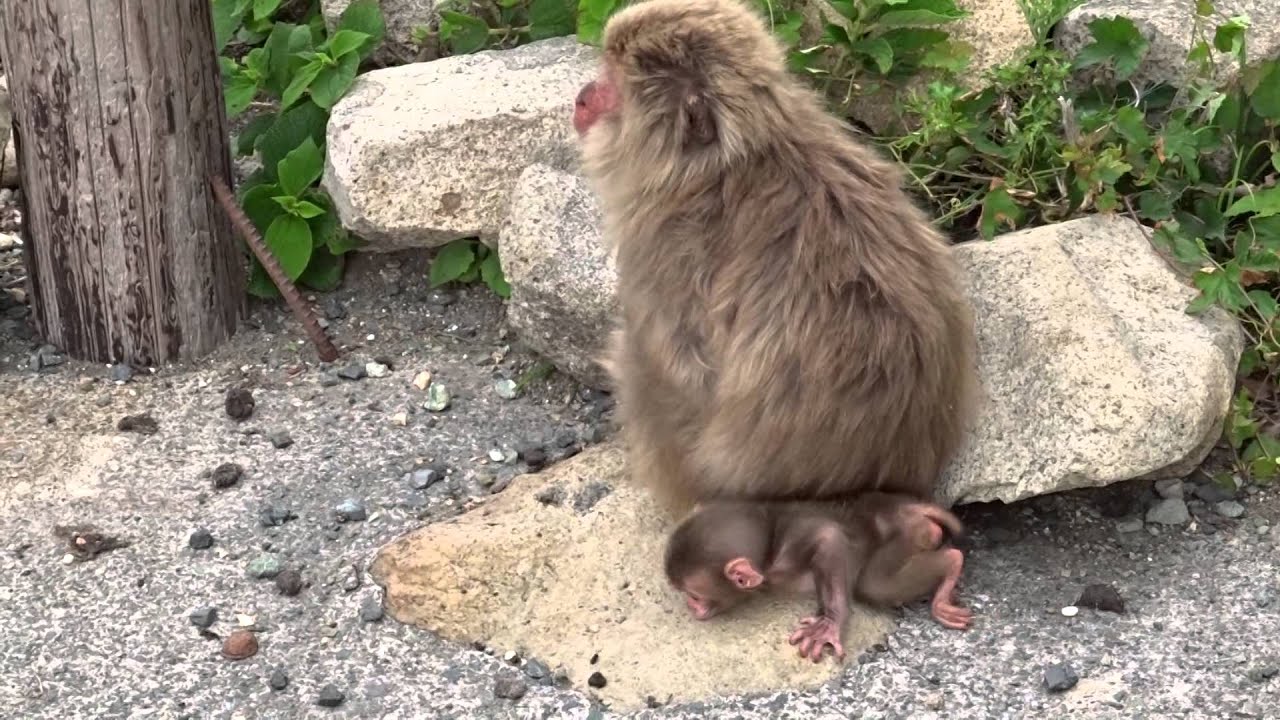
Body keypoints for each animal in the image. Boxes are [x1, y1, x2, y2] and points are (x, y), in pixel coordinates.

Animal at [663, 492, 972, 661]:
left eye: (694, 594)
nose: (691, 605)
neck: (769, 540)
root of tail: (905, 508)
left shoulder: (789, 548)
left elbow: (830, 539)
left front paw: (827, 624)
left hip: (909, 535)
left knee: (876, 584)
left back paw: (951, 565)